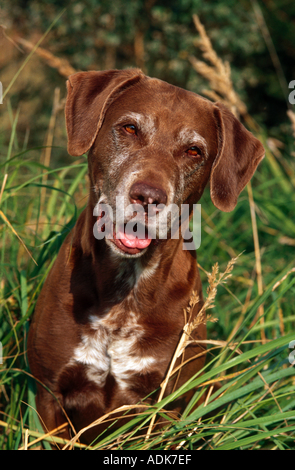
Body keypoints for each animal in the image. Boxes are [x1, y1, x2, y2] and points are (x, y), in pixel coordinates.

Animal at [26, 68, 264, 442]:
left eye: (194, 151)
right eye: (129, 129)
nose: (149, 196)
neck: (124, 293)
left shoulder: (166, 407)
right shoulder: (50, 394)